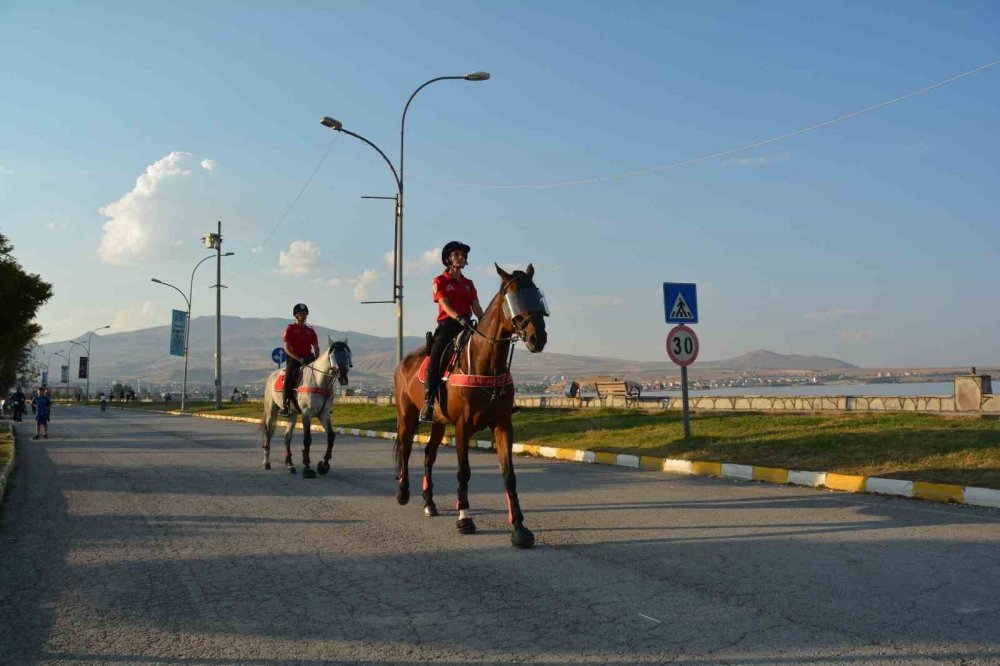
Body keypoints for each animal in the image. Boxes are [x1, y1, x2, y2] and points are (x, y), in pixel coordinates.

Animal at [262, 340, 352, 474]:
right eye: (333, 355)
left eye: (347, 355)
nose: (343, 378)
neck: (320, 382)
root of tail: (272, 375)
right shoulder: (307, 413)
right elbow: (307, 439)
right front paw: (307, 466)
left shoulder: (324, 414)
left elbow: (331, 436)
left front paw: (324, 465)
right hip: (271, 410)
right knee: (268, 433)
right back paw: (266, 462)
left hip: (292, 414)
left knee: (287, 437)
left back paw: (290, 464)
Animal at [392, 262, 548, 548]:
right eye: (513, 299)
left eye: (536, 296)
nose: (537, 338)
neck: (485, 362)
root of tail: (403, 362)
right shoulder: (462, 426)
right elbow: (463, 471)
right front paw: (464, 517)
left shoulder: (502, 424)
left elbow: (509, 474)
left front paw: (519, 528)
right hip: (407, 415)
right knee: (406, 449)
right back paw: (403, 493)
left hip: (438, 423)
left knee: (429, 455)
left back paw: (429, 503)